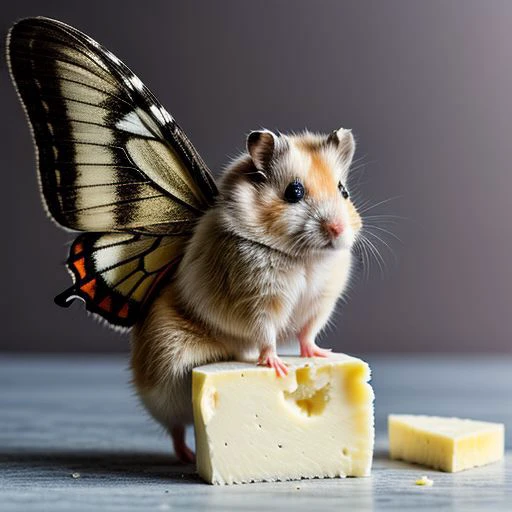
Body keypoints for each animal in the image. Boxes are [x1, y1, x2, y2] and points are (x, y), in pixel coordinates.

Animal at [132, 129, 364, 464]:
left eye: (343, 190)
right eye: (294, 192)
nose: (338, 228)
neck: (304, 257)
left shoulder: (320, 304)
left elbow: (308, 333)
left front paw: (320, 355)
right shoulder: (256, 300)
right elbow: (266, 333)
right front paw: (277, 366)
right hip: (165, 373)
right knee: (176, 426)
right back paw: (187, 455)